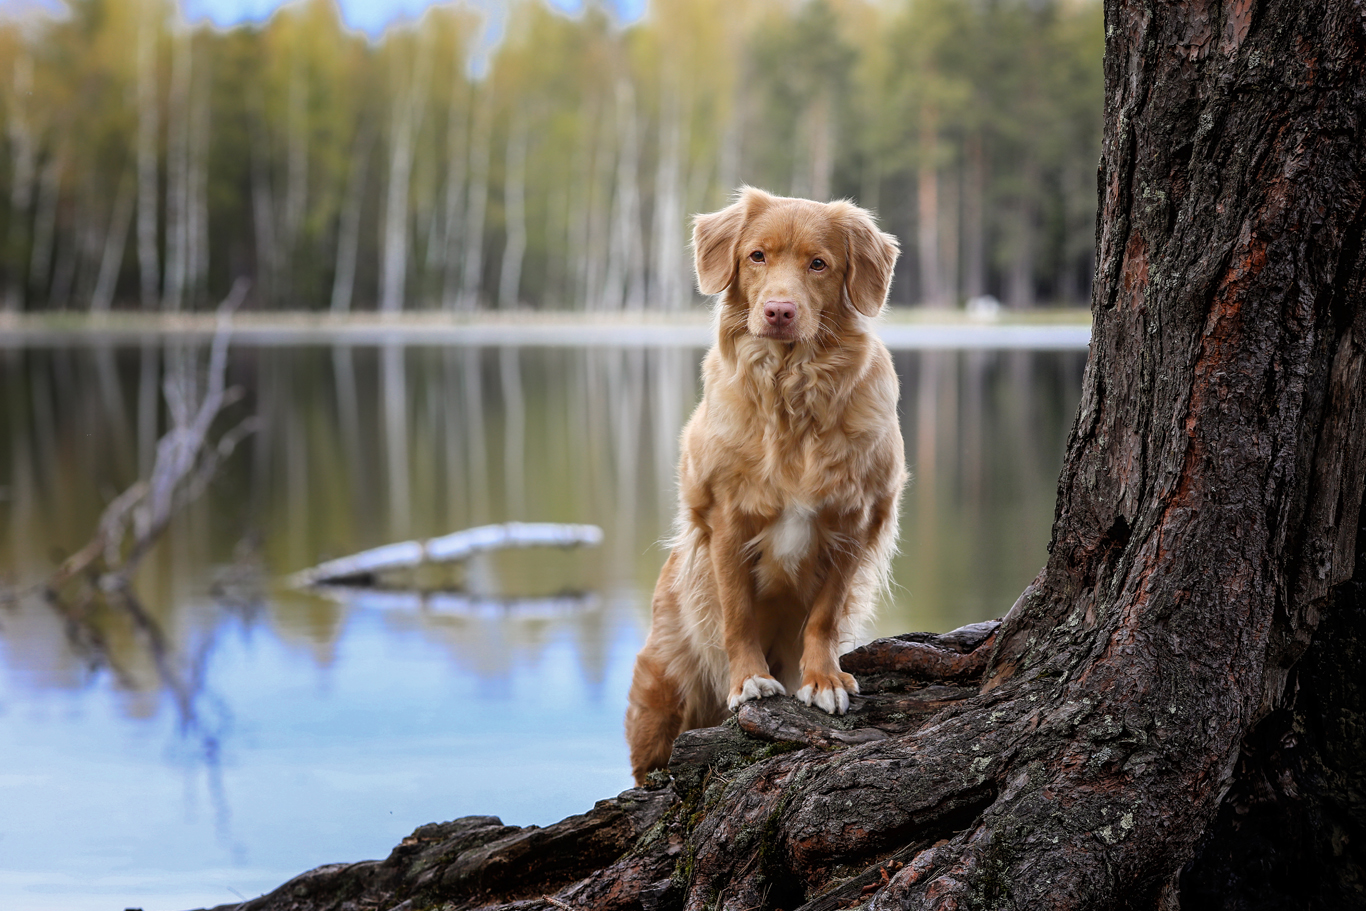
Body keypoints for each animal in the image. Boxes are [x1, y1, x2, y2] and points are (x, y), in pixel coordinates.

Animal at [625, 185, 907, 786]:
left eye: (818, 264)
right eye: (757, 256)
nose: (779, 311)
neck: (790, 386)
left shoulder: (854, 520)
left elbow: (824, 613)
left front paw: (823, 679)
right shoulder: (726, 519)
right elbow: (737, 612)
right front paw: (749, 680)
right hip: (660, 695)